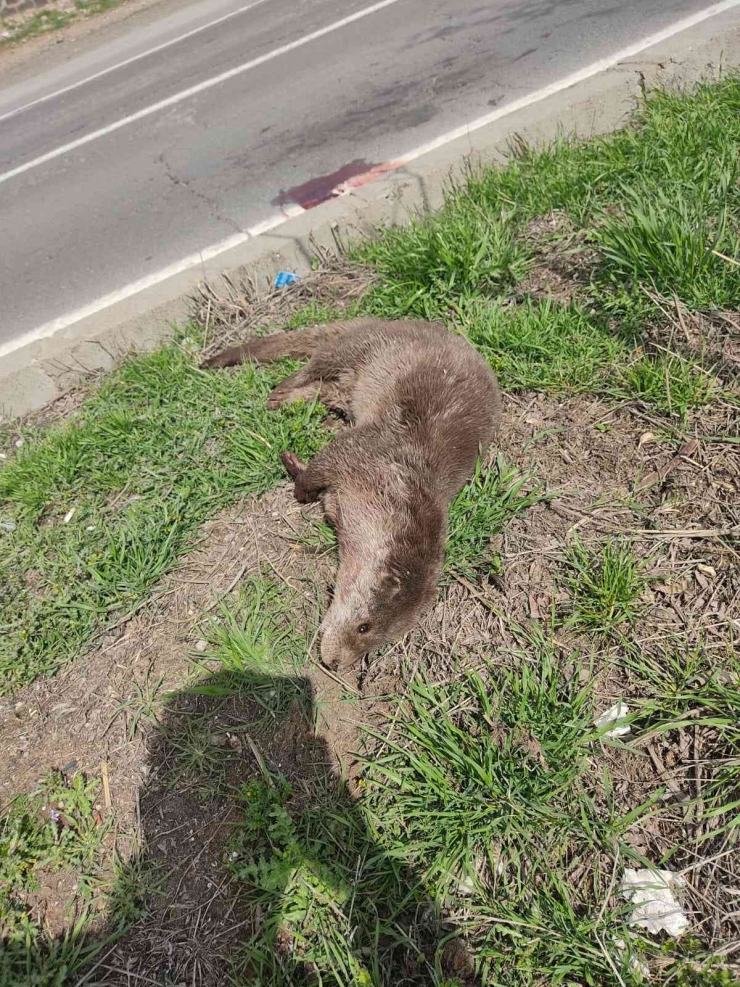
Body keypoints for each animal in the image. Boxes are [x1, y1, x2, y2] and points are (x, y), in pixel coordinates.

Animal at [202, 320, 502, 676]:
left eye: (377, 641)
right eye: (364, 626)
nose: (335, 664)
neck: (393, 483)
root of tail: (389, 321)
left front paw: (292, 464)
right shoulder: (359, 451)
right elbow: (321, 465)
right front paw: (300, 488)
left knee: (324, 388)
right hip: (357, 347)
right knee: (314, 365)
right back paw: (280, 391)